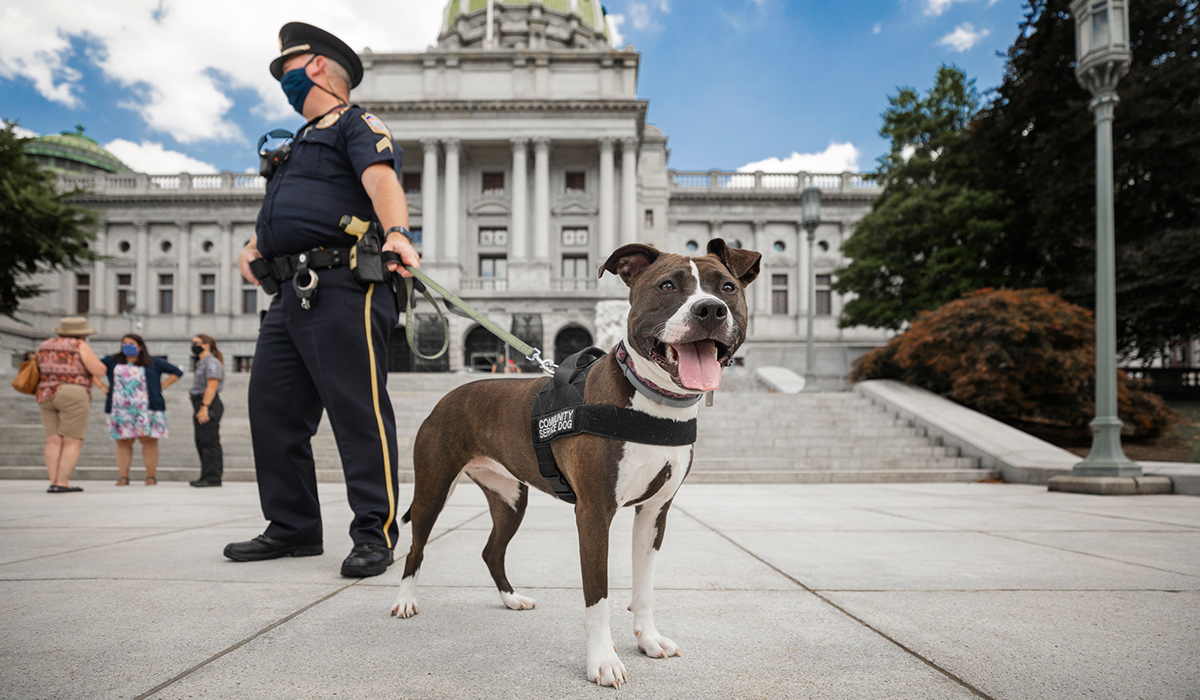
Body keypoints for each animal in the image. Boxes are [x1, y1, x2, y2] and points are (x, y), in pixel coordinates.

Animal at [391, 237, 758, 686]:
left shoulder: (655, 512)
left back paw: (511, 599)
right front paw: (602, 661)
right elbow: (597, 596)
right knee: (415, 548)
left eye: (727, 288)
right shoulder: (594, 512)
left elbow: (645, 588)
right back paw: (405, 601)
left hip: (510, 498)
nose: (709, 309)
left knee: (492, 551)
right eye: (668, 286)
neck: (654, 402)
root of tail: (450, 395)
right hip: (433, 487)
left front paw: (648, 639)